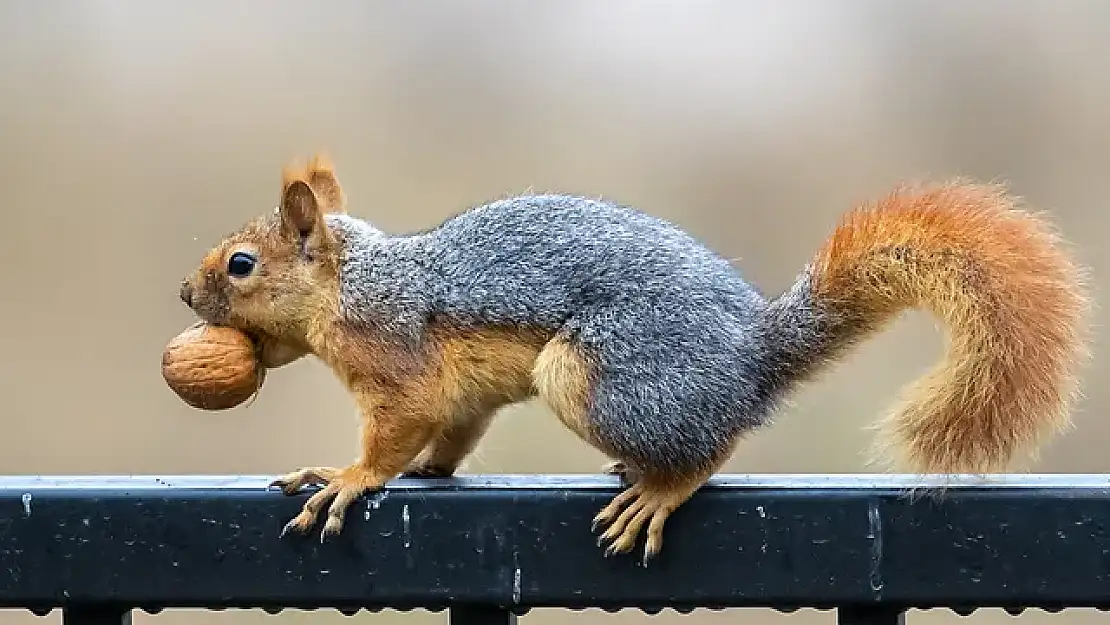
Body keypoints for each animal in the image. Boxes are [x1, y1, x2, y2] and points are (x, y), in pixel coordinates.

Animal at [177, 155, 1087, 568]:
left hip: (596, 375)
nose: (185, 294)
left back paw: (658, 489)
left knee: (708, 451)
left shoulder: (396, 362)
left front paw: (345, 477)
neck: (355, 283)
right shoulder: (462, 398)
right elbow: (455, 433)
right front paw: (430, 472)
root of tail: (751, 360)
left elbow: (394, 435)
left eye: (241, 266)